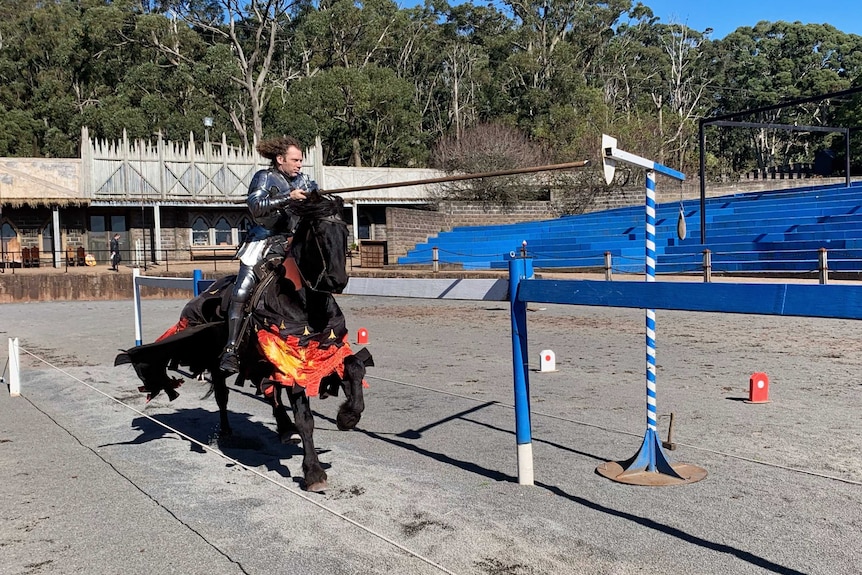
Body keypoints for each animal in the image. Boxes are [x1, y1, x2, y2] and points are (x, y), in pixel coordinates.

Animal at [115, 196, 372, 492]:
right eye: (318, 232)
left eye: (345, 232)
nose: (337, 280)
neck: (304, 304)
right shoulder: (293, 363)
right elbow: (305, 418)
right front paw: (314, 472)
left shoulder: (324, 350)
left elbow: (354, 368)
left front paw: (348, 416)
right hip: (222, 362)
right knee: (224, 395)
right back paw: (228, 431)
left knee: (270, 390)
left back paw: (284, 428)